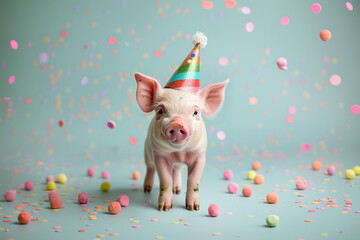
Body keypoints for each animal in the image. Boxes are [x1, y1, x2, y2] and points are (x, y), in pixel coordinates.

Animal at [135, 72, 228, 211]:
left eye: (196, 112)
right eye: (160, 111)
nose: (177, 124)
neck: (180, 153)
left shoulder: (200, 155)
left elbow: (193, 179)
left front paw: (193, 208)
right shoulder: (159, 155)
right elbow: (165, 179)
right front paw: (164, 208)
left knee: (177, 169)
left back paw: (177, 190)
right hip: (147, 151)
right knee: (150, 168)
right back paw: (147, 190)